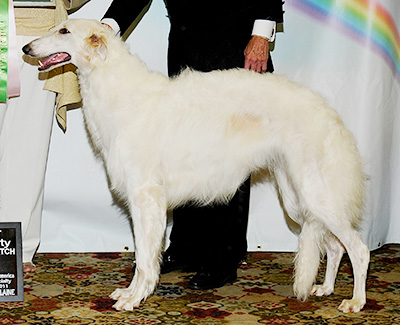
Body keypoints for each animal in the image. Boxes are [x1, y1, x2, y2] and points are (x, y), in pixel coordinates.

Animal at [23, 18, 370, 312]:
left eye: (64, 31)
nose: (26, 48)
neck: (120, 91)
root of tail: (330, 114)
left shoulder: (146, 197)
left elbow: (144, 259)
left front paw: (134, 298)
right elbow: (143, 255)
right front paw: (129, 292)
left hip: (315, 193)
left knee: (359, 248)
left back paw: (356, 302)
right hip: (298, 199)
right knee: (336, 246)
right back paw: (325, 288)